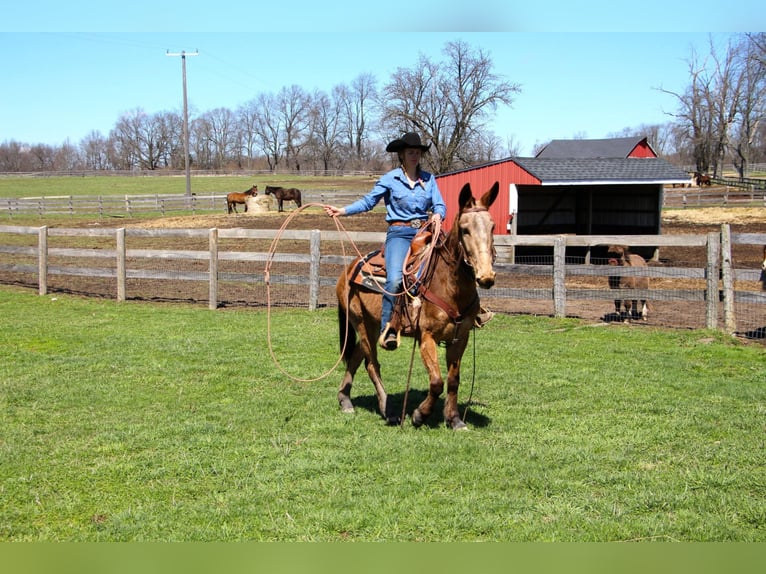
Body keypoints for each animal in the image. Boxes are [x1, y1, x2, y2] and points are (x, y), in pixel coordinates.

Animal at [334, 182, 500, 430]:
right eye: (465, 229)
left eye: (492, 227)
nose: (486, 277)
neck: (449, 285)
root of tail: (349, 269)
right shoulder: (426, 337)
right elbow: (437, 381)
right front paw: (419, 415)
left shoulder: (460, 338)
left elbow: (453, 380)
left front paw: (454, 419)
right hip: (362, 324)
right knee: (372, 365)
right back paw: (389, 411)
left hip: (372, 327)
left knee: (355, 357)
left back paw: (345, 400)